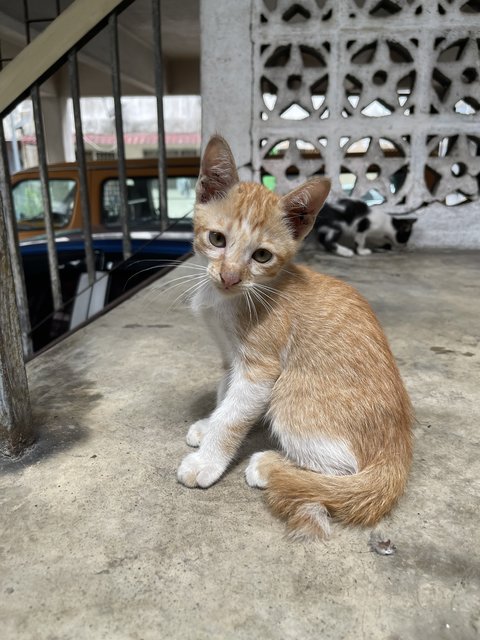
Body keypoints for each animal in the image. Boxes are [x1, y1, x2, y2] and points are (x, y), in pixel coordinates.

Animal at [176, 135, 412, 540]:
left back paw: (270, 466)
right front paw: (208, 424)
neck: (234, 298)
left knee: (343, 470)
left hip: (290, 390)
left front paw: (207, 458)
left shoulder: (261, 369)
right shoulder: (230, 356)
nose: (229, 276)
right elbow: (225, 394)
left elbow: (233, 417)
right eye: (217, 239)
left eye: (262, 256)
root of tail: (396, 454)